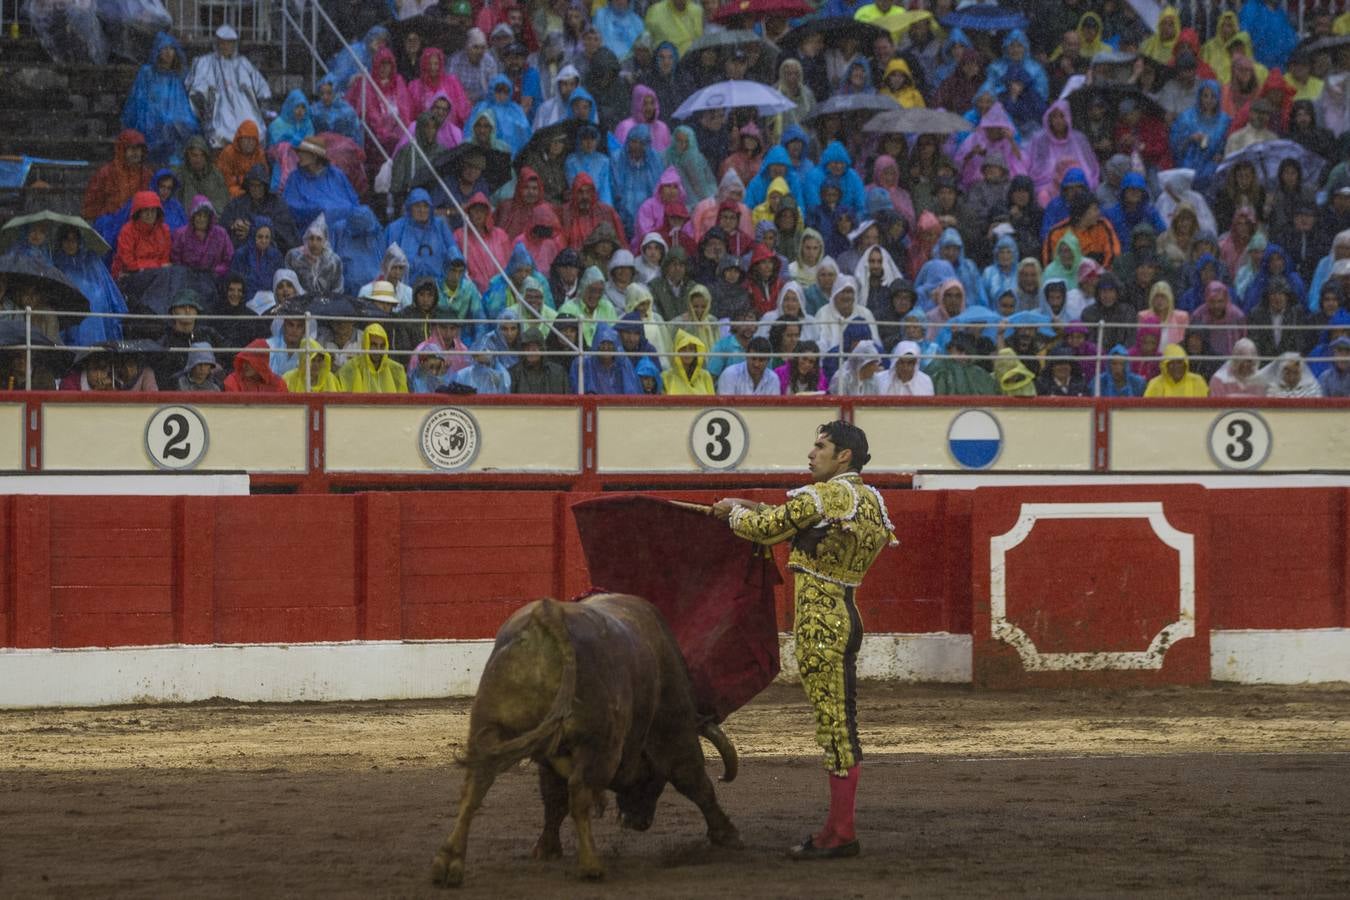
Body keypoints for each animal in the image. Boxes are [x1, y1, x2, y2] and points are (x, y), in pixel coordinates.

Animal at [432, 591, 745, 885]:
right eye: (655, 780)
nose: (638, 822)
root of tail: (549, 614)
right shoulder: (675, 730)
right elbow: (695, 781)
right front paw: (728, 835)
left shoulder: (550, 757)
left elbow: (553, 799)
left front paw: (547, 848)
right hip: (597, 744)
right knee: (580, 791)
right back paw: (591, 865)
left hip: (489, 727)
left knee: (475, 786)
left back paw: (449, 863)